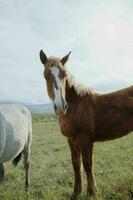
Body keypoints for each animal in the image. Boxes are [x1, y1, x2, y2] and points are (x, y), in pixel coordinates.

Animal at [39, 49, 133, 198]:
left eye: (64, 74)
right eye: (45, 75)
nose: (60, 107)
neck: (76, 104)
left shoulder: (85, 138)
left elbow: (87, 164)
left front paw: (92, 193)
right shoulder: (71, 139)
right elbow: (76, 164)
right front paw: (76, 193)